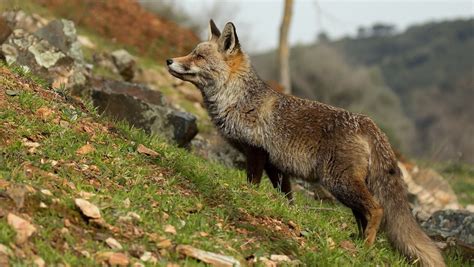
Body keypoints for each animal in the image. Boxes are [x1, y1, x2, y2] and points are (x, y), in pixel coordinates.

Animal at [166, 19, 444, 267]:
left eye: (198, 56)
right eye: (192, 53)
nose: (169, 60)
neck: (239, 100)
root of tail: (368, 122)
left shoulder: (256, 153)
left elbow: (252, 185)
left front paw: (247, 197)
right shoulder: (275, 166)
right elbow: (287, 199)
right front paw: (286, 216)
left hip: (339, 182)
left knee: (376, 210)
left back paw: (366, 247)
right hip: (347, 187)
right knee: (363, 215)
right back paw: (358, 240)